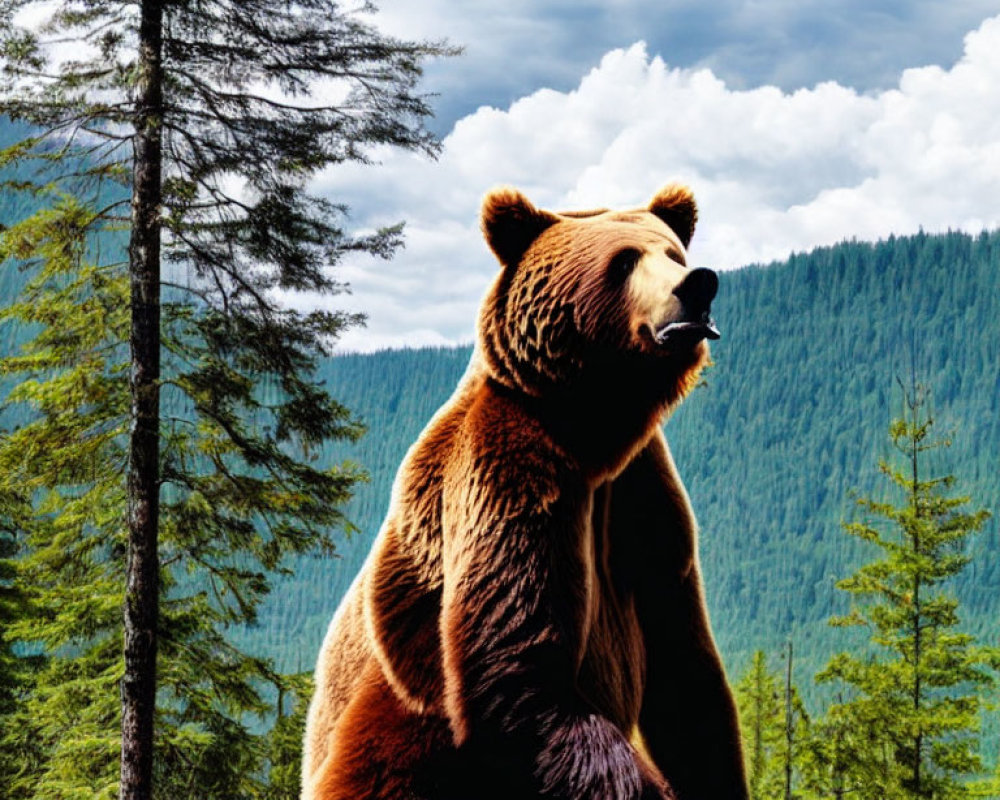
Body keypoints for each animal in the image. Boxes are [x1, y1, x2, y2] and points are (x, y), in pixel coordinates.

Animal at [300, 184, 748, 796]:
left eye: (674, 254)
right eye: (624, 260)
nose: (698, 284)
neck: (596, 432)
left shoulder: (645, 493)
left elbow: (685, 671)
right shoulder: (508, 468)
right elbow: (517, 667)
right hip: (397, 730)